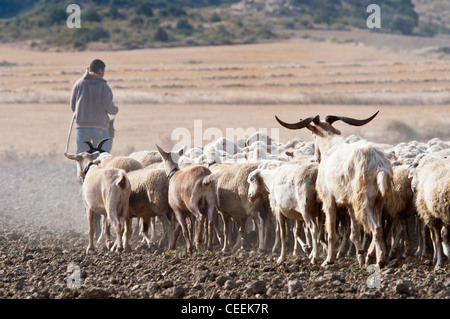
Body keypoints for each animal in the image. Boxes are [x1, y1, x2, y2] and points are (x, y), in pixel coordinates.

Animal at [276, 110, 392, 268]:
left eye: (313, 135)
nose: (316, 157)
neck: (330, 148)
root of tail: (379, 164)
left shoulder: (328, 201)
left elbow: (331, 233)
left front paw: (329, 260)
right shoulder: (350, 204)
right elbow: (354, 233)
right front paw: (360, 257)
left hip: (364, 201)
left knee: (376, 228)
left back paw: (379, 261)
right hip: (377, 202)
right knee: (379, 227)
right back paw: (371, 257)